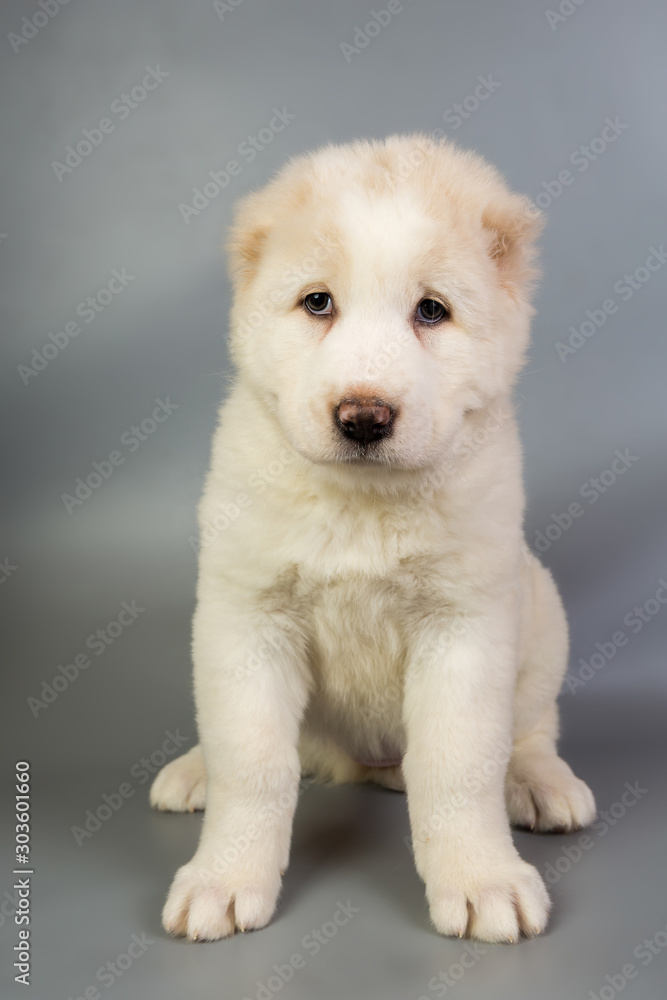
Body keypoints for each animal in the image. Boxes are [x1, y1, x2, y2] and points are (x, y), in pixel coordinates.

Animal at [151, 137, 596, 940]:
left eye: (431, 311)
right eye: (317, 302)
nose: (363, 416)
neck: (361, 504)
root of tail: (367, 768)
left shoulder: (464, 627)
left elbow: (459, 767)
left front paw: (483, 882)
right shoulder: (248, 618)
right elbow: (252, 763)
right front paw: (224, 878)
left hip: (541, 612)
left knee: (529, 730)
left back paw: (541, 784)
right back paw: (193, 768)